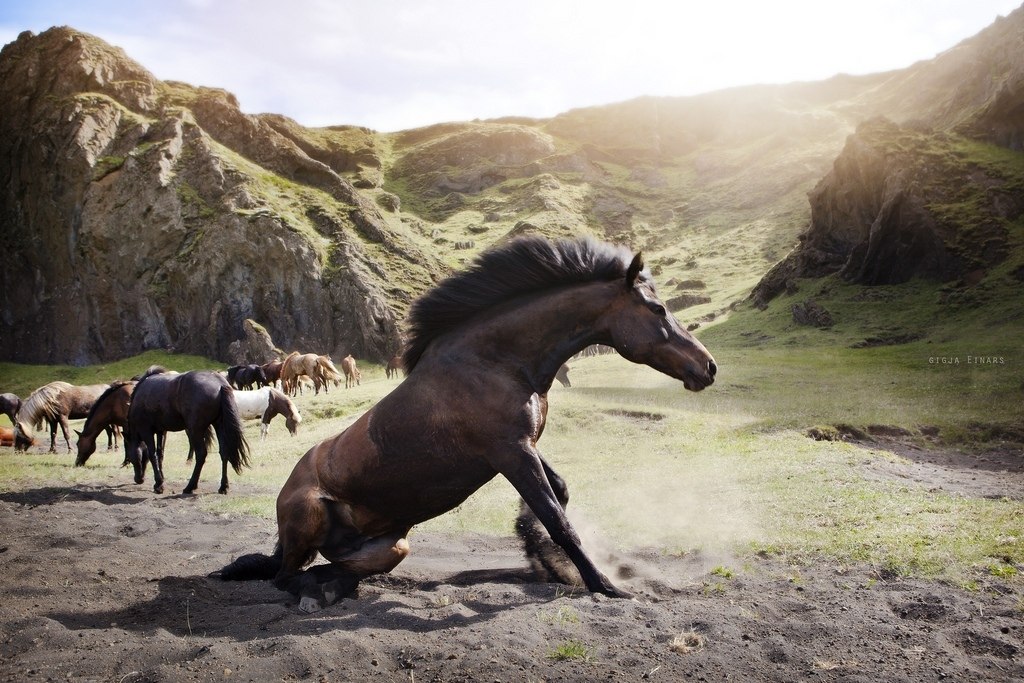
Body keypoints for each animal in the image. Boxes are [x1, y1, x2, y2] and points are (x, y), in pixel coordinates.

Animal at [123, 368, 249, 497]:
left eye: (129, 457)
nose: (138, 479)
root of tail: (220, 384)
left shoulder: (146, 432)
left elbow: (152, 454)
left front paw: (158, 484)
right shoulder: (161, 431)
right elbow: (160, 454)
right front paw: (161, 479)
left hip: (196, 430)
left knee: (201, 455)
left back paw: (190, 486)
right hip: (219, 425)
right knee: (224, 452)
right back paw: (223, 486)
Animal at [214, 236, 712, 610]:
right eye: (658, 310)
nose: (708, 367)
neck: (496, 361)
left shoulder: (523, 446)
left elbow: (560, 493)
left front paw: (540, 555)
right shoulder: (510, 452)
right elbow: (557, 518)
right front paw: (604, 585)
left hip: (393, 547)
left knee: (329, 571)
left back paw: (334, 588)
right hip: (311, 516)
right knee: (283, 577)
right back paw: (315, 596)